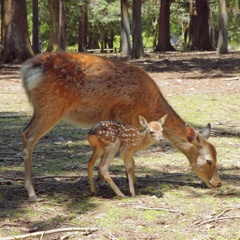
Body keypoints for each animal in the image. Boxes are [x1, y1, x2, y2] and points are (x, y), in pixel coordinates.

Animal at [20, 51, 221, 200]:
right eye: (209, 160)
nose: (218, 183)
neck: (148, 104)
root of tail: (27, 69)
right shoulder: (124, 115)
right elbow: (130, 158)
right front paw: (130, 185)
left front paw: (101, 182)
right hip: (51, 106)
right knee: (29, 136)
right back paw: (31, 191)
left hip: (39, 107)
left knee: (24, 132)